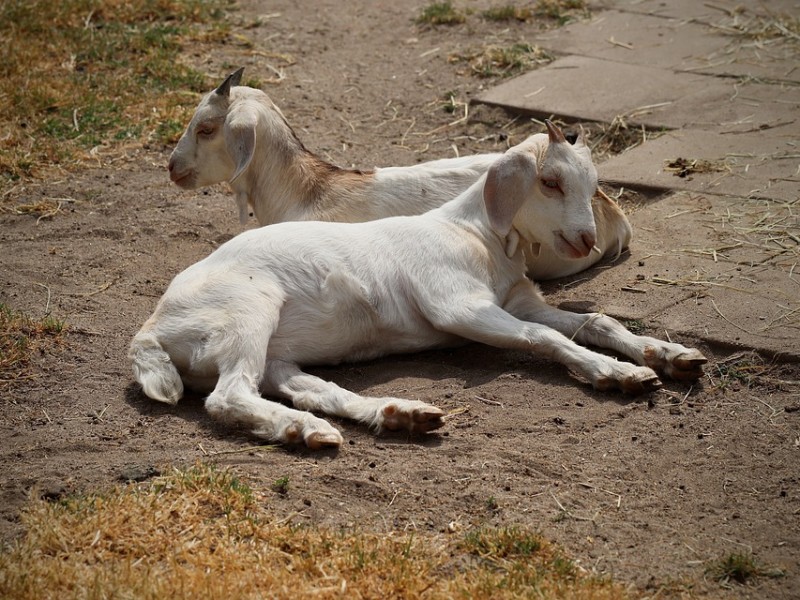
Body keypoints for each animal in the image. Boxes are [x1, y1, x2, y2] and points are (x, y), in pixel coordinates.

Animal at [131, 122, 708, 448]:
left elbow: (594, 319)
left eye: (593, 186)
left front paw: (671, 355)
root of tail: (150, 330)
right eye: (549, 182)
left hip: (273, 351)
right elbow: (544, 338)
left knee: (307, 388)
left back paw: (388, 417)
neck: (479, 234)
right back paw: (310, 430)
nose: (587, 239)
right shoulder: (458, 306)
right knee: (228, 396)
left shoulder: (519, 300)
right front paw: (619, 373)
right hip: (247, 309)